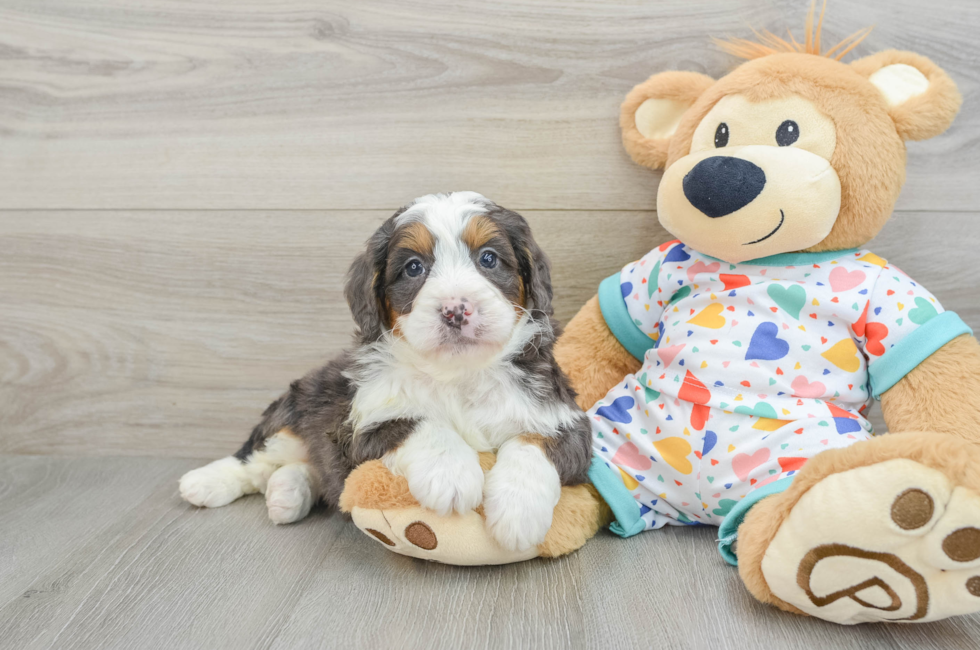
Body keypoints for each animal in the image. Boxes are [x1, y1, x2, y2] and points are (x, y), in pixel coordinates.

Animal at [181, 190, 592, 548]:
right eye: (413, 268)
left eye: (488, 259)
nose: (455, 310)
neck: (458, 374)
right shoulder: (364, 423)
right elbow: (418, 423)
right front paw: (451, 475)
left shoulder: (562, 416)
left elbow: (532, 443)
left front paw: (518, 511)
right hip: (299, 406)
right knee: (257, 458)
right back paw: (206, 482)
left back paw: (288, 493)